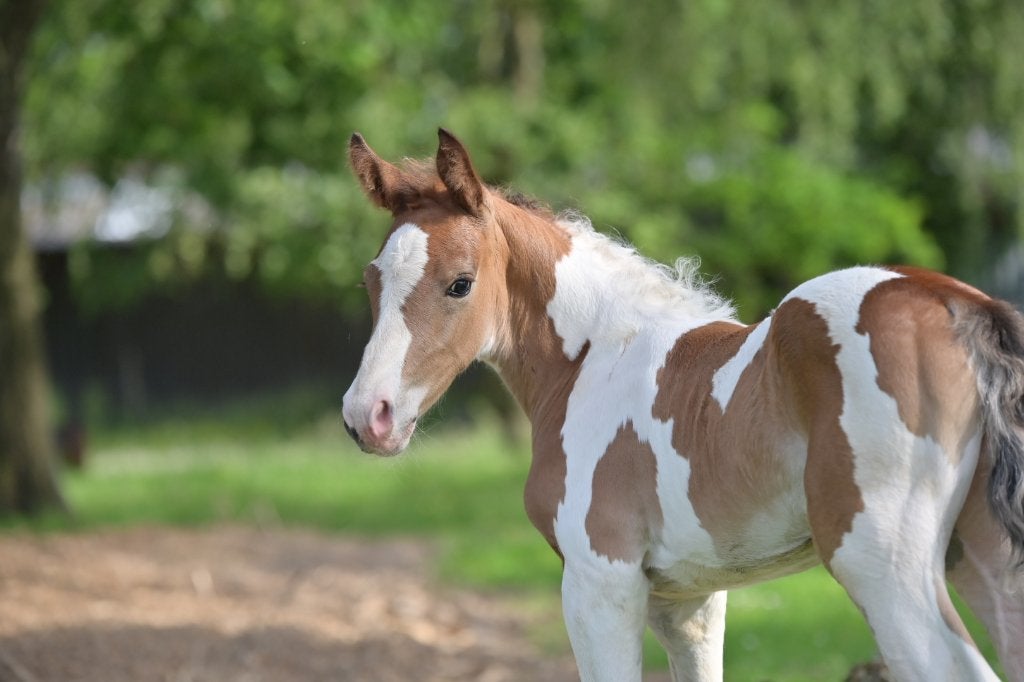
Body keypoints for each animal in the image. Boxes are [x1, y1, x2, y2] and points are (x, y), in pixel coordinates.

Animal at [340, 129, 1024, 682]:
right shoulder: (690, 600)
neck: (592, 359)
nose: (366, 416)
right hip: (982, 559)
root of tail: (960, 305)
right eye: (370, 280)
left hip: (881, 566)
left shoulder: (600, 581)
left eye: (460, 283)